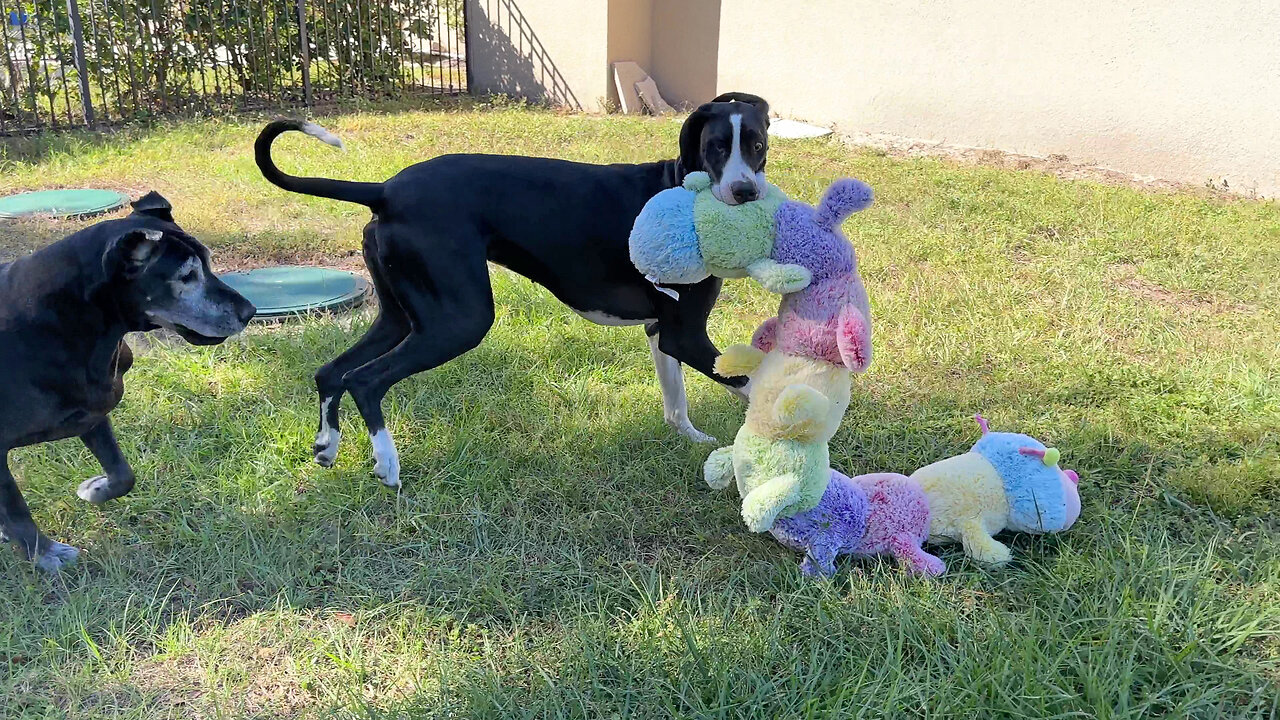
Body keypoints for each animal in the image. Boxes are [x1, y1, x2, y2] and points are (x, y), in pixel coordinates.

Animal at [0, 193, 254, 568]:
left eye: (208, 264)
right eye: (187, 276)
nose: (250, 312)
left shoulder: (93, 413)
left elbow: (123, 474)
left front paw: (95, 489)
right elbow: (17, 509)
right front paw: (44, 553)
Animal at [254, 89, 762, 481]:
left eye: (757, 144)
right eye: (716, 147)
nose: (746, 193)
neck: (681, 184)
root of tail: (385, 190)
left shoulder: (663, 332)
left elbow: (676, 402)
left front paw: (691, 439)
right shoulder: (686, 335)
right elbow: (753, 384)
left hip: (400, 318)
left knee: (331, 372)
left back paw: (327, 446)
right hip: (460, 322)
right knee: (364, 380)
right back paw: (387, 464)